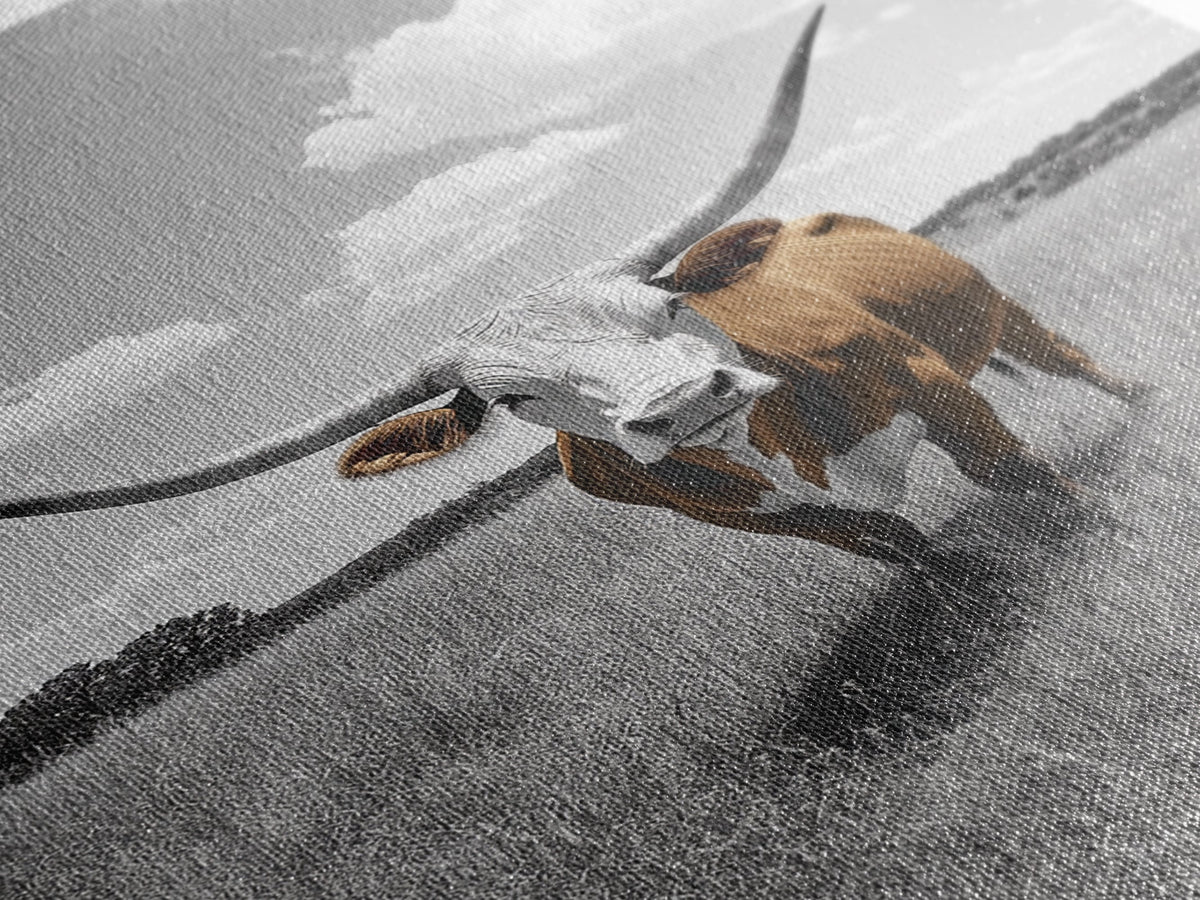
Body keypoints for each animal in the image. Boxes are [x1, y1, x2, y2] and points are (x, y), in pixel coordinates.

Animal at [0, 7, 1145, 573]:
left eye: (671, 305)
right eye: (513, 399)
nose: (683, 404)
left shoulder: (942, 395)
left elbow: (1022, 477)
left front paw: (1106, 538)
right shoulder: (768, 522)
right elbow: (903, 548)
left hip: (1000, 314)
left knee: (1069, 360)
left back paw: (1145, 403)